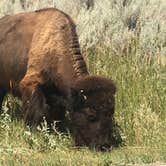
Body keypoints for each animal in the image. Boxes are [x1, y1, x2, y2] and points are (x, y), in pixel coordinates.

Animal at [0, 8, 116, 150]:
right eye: (91, 115)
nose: (103, 145)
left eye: (111, 113)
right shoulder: (31, 84)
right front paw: (33, 132)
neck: (56, 50)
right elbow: (36, 111)